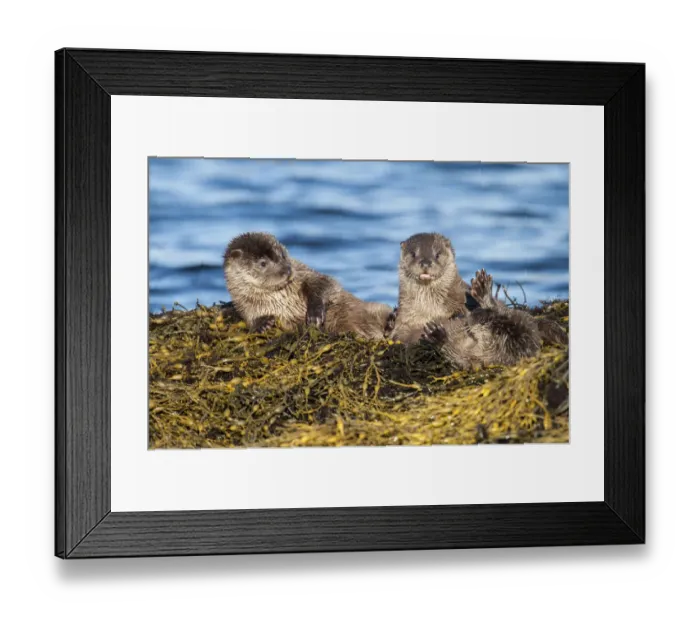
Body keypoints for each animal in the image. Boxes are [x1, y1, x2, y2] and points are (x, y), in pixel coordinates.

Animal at [223, 232, 392, 340]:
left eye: (282, 255)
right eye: (263, 263)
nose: (287, 269)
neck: (280, 297)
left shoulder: (304, 273)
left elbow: (325, 283)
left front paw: (315, 313)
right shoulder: (244, 302)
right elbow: (249, 316)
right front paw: (261, 324)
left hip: (371, 308)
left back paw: (390, 322)